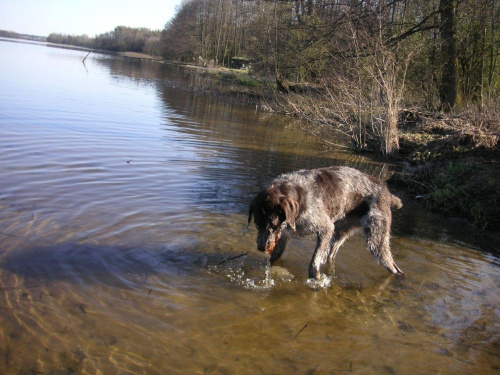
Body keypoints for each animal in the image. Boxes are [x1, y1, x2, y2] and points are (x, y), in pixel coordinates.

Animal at [248, 167, 404, 280]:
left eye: (273, 224)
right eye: (256, 224)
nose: (261, 248)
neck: (301, 196)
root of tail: (387, 194)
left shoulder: (325, 229)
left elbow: (314, 262)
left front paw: (316, 280)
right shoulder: (284, 235)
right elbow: (275, 257)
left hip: (375, 239)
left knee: (393, 266)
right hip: (340, 233)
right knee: (330, 255)